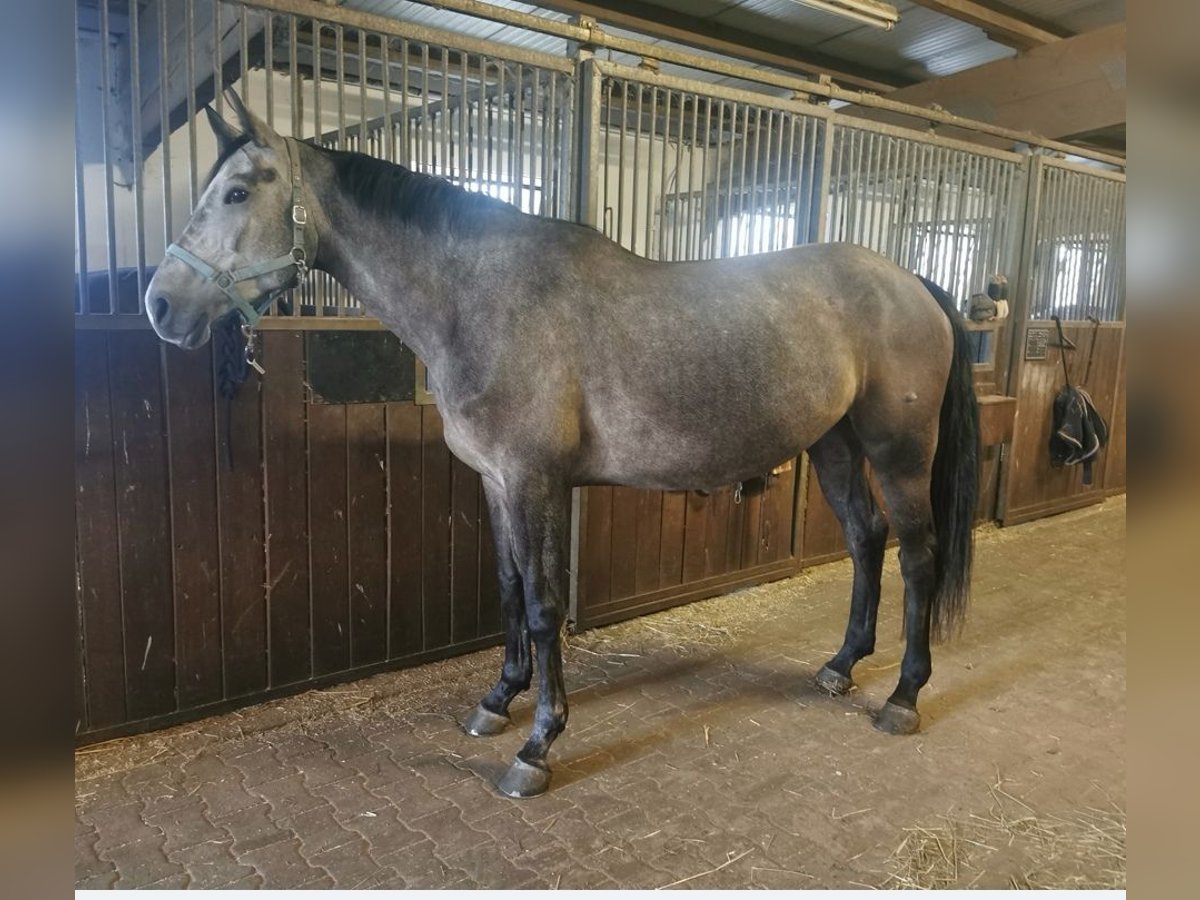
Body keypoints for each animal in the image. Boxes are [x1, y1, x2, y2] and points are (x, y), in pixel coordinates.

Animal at [145, 91, 979, 798]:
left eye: (237, 192)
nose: (159, 305)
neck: (485, 299)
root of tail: (913, 282)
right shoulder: (494, 481)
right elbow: (510, 589)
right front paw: (496, 699)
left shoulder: (533, 481)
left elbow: (545, 606)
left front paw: (538, 744)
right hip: (834, 445)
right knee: (865, 541)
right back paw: (840, 666)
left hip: (900, 451)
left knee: (917, 556)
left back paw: (903, 695)